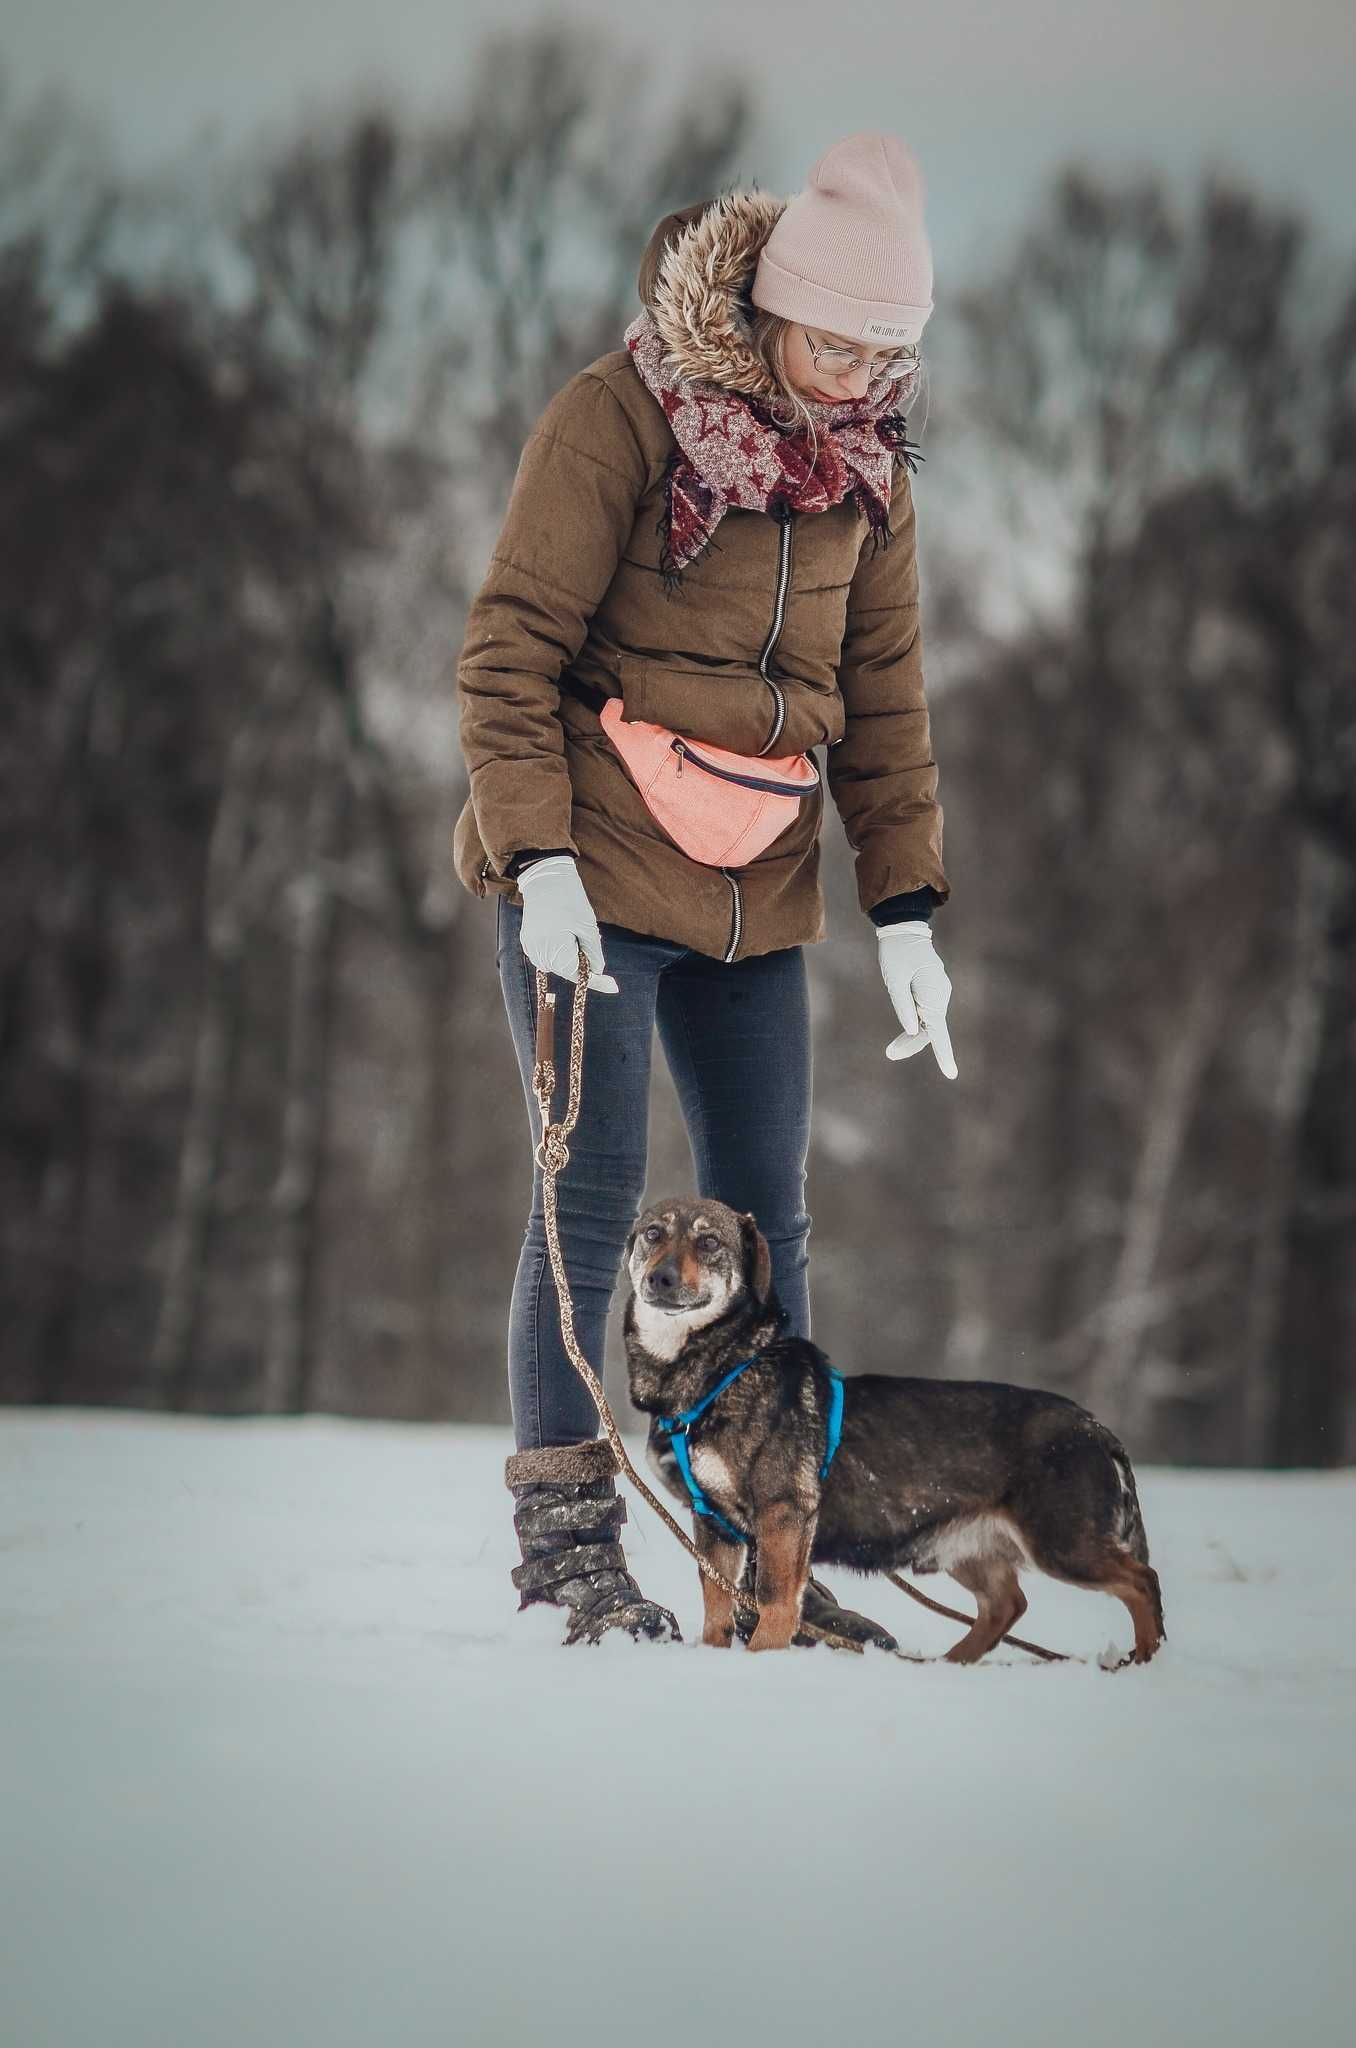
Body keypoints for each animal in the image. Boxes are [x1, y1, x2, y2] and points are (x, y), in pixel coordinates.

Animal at [626, 1196, 1171, 1654]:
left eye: (709, 1242)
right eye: (653, 1233)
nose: (660, 1279)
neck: (720, 1370)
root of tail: (1097, 1428)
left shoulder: (784, 1513)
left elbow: (775, 1601)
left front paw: (763, 1658)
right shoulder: (714, 1522)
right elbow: (716, 1608)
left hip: (1062, 1542)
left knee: (1141, 1580)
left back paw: (1142, 1660)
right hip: (967, 1547)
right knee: (1006, 1605)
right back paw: (951, 1664)